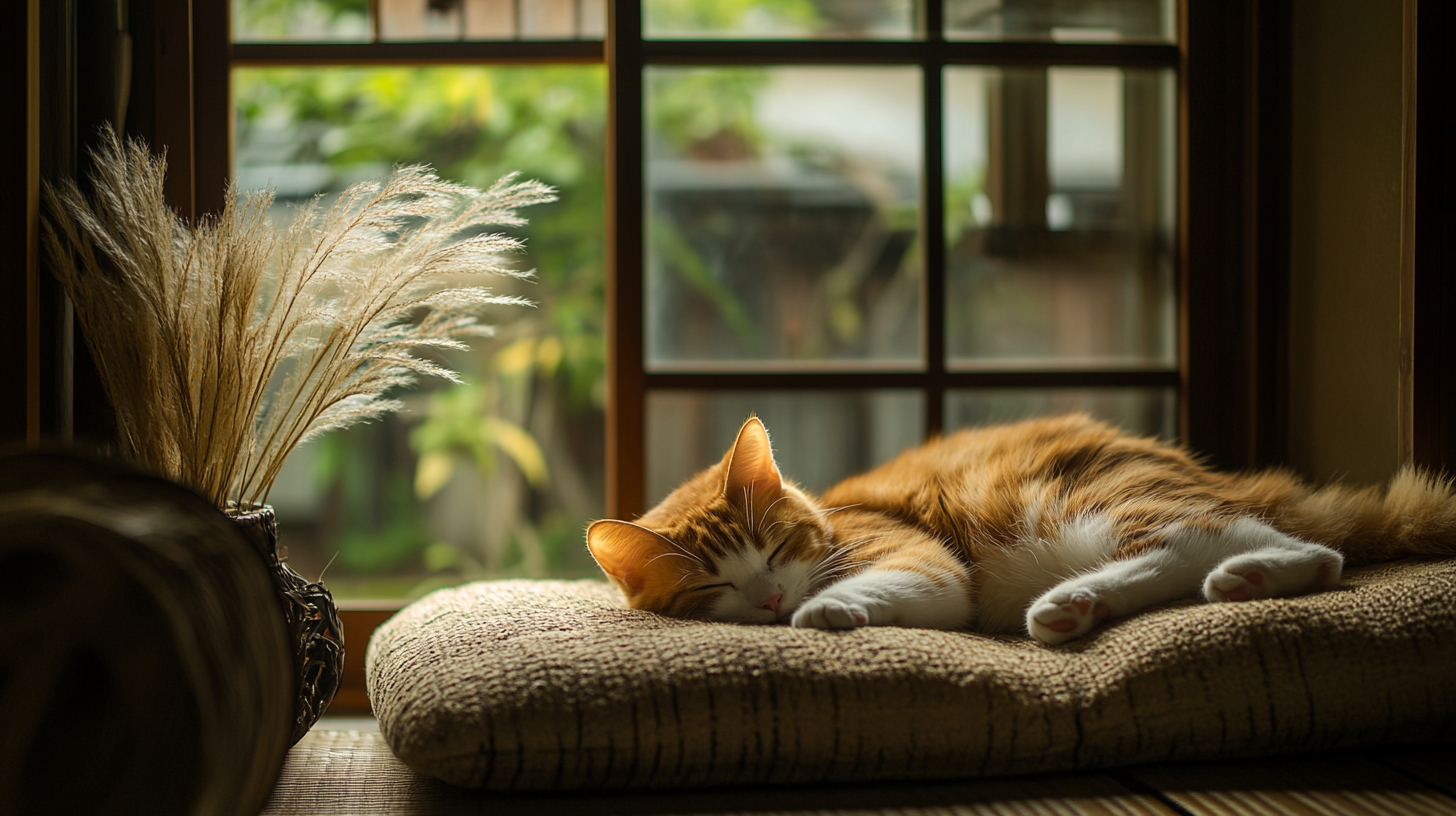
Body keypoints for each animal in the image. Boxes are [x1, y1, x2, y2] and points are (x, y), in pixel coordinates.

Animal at [582, 413, 1456, 644]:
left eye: (774, 548)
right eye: (714, 584)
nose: (766, 601)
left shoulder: (928, 568)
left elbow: (896, 584)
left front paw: (822, 608)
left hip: (1091, 504)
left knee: (1272, 545)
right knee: (1303, 554)